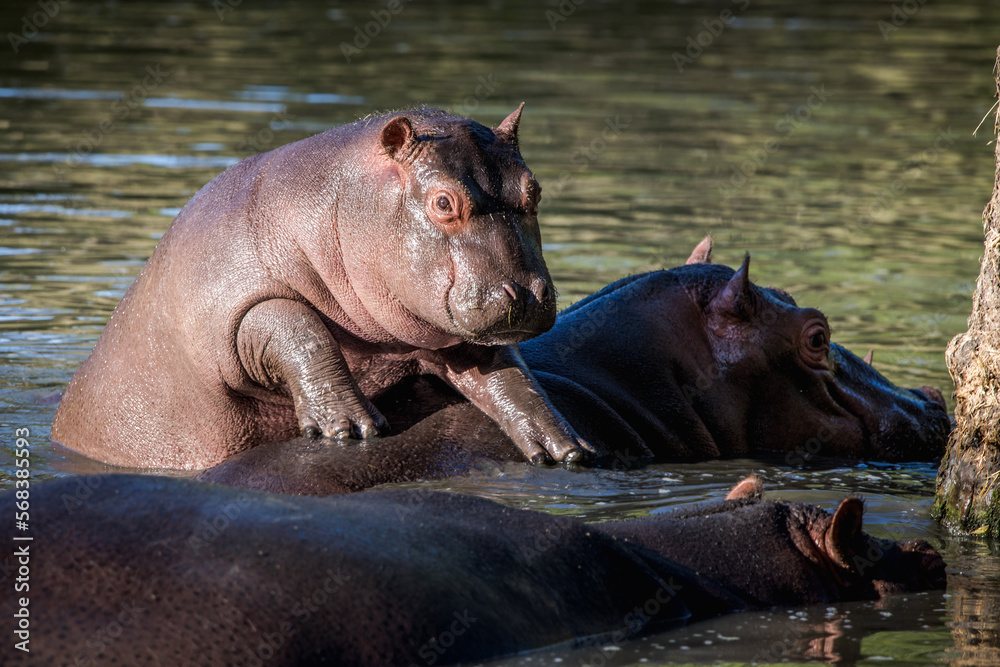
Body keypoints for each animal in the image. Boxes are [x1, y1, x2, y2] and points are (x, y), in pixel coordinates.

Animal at [51, 106, 588, 469]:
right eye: (442, 202)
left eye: (534, 190)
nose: (525, 295)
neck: (335, 200)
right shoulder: (235, 305)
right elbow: (300, 328)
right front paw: (352, 428)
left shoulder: (451, 331)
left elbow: (506, 376)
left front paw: (566, 446)